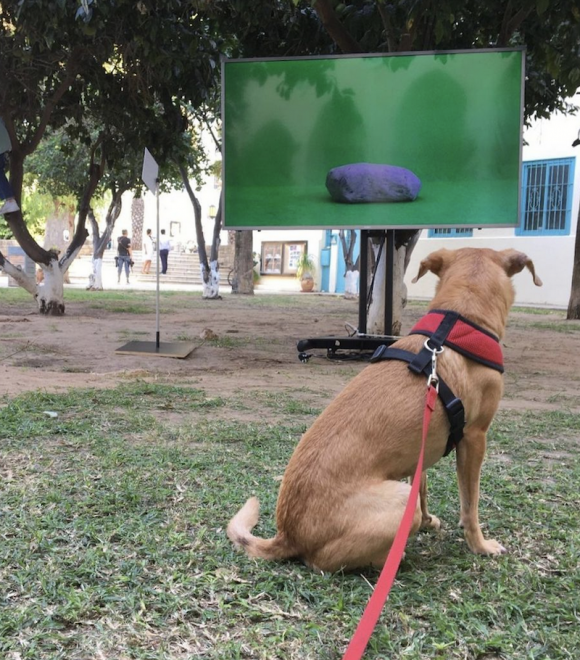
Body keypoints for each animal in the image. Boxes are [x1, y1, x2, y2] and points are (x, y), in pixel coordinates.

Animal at [225, 249, 540, 572]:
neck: (458, 319)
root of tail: (287, 536)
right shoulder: (475, 439)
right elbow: (470, 505)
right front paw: (480, 545)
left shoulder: (423, 448)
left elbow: (422, 486)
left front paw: (428, 521)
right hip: (398, 500)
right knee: (323, 560)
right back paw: (394, 556)